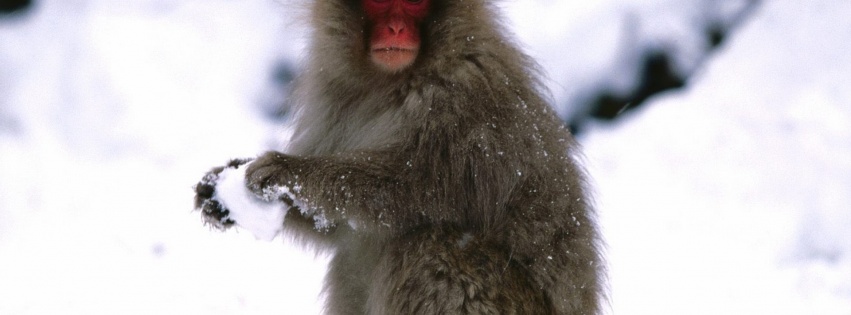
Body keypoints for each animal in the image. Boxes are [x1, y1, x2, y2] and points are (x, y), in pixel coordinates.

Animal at [193, 0, 604, 314]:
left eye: (416, 2)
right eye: (378, 2)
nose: (395, 28)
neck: (391, 82)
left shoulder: (464, 108)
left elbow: (406, 190)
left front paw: (288, 172)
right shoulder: (332, 94)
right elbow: (337, 226)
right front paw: (220, 189)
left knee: (431, 248)